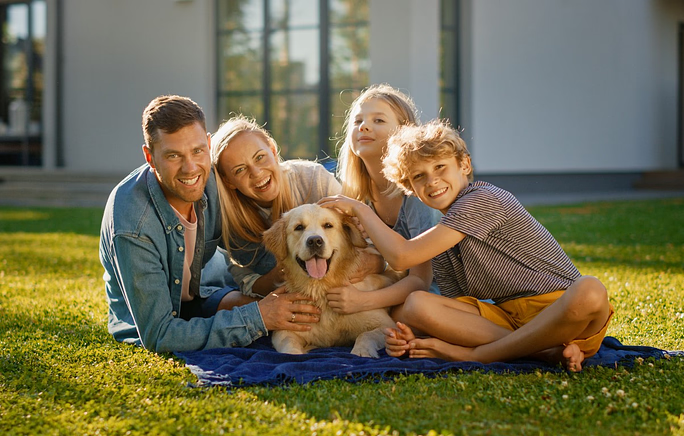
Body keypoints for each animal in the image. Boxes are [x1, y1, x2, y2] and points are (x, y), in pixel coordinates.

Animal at [262, 203, 404, 356]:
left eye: (328, 225)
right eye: (299, 227)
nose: (315, 241)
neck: (322, 288)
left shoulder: (387, 325)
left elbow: (365, 335)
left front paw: (361, 351)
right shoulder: (285, 328)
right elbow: (288, 343)